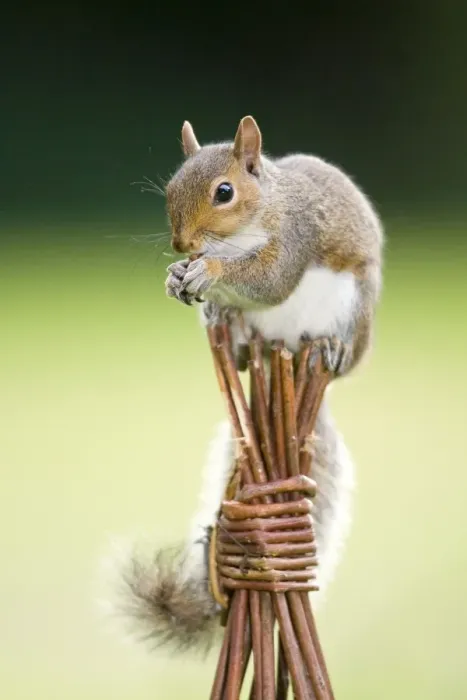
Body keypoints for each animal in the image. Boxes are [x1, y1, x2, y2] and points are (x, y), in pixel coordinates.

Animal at [108, 116, 383, 654]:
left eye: (224, 192)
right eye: (170, 188)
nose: (182, 247)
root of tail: (285, 349)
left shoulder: (295, 236)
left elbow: (270, 279)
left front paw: (209, 270)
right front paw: (176, 276)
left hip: (353, 307)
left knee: (336, 348)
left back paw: (330, 348)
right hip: (247, 334)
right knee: (236, 348)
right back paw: (227, 326)